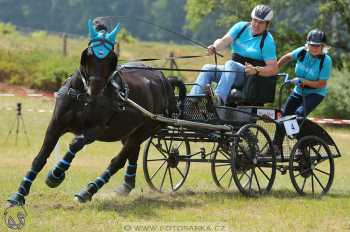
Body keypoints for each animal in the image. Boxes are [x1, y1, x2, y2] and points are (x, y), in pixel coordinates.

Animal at [7, 19, 186, 205]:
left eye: (110, 58)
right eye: (90, 55)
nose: (96, 88)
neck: (83, 97)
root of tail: (164, 80)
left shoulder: (96, 130)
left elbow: (76, 143)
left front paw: (56, 175)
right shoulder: (56, 124)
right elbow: (40, 157)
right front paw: (19, 194)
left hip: (146, 129)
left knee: (118, 160)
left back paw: (88, 191)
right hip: (128, 131)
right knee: (132, 153)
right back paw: (125, 187)